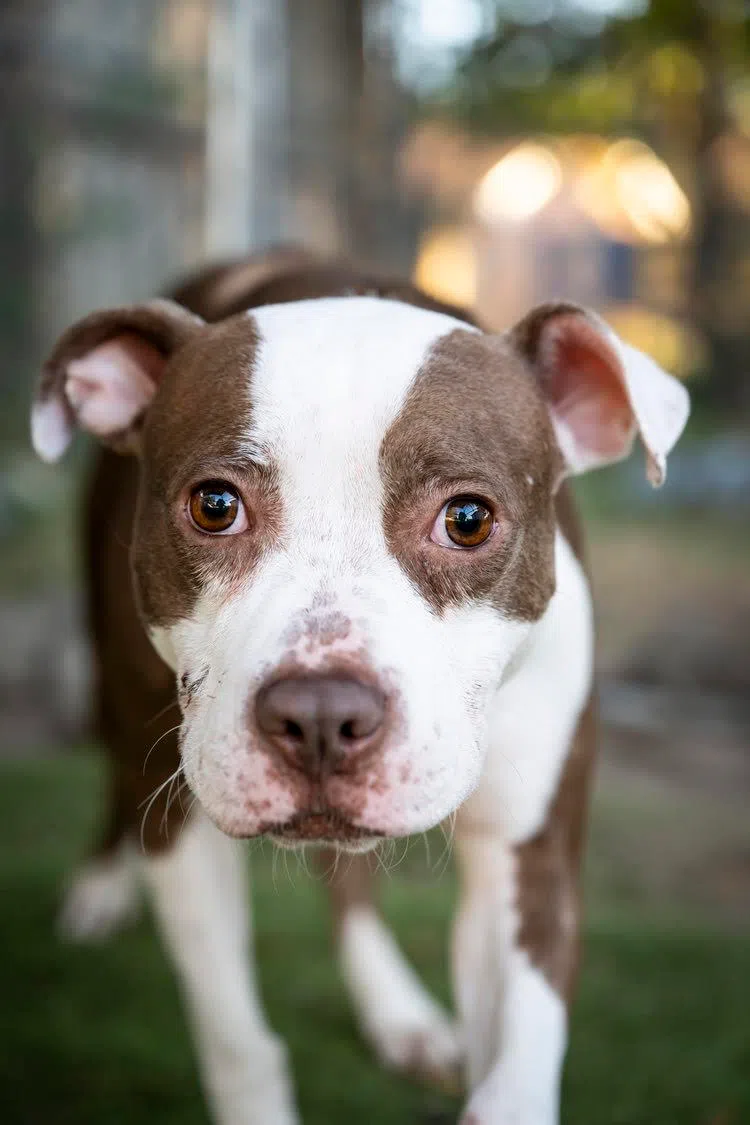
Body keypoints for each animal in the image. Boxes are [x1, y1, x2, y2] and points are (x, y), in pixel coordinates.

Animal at [31, 246, 689, 1124]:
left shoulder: (528, 862)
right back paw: (103, 882)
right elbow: (239, 1043)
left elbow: (512, 1079)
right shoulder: (182, 828)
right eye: (214, 505)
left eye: (468, 518)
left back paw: (396, 1011)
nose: (319, 712)